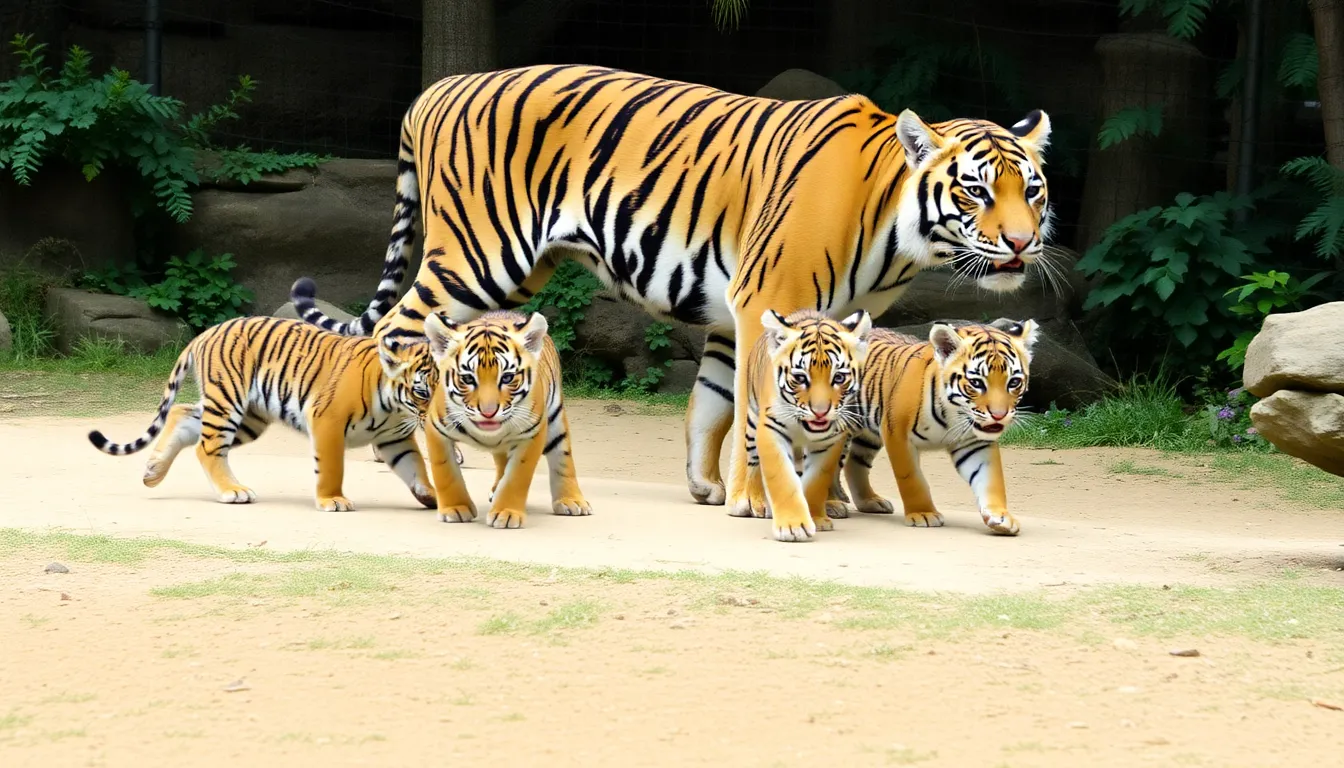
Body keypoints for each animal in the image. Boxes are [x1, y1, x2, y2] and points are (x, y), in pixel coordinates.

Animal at [87, 316, 443, 512]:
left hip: (249, 416)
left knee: (182, 413)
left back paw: (153, 472)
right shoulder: (327, 422)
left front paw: (433, 495)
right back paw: (232, 491)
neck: (395, 408)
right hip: (228, 400)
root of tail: (205, 333)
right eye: (422, 392)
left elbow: (415, 466)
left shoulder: (395, 438)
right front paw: (333, 500)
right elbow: (331, 467)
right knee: (207, 447)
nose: (435, 420)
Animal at [419, 309, 592, 529]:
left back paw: (571, 501)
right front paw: (455, 509)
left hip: (555, 420)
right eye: (467, 378)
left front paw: (506, 513)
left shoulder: (532, 433)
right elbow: (445, 471)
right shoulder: (436, 429)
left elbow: (516, 477)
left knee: (562, 457)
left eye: (507, 377)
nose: (488, 412)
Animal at [738, 308, 871, 542]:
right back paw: (757, 502)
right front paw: (792, 526)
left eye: (839, 377)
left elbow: (817, 481)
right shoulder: (772, 430)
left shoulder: (831, 441)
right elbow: (782, 479)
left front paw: (816, 518)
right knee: (753, 464)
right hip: (752, 422)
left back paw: (832, 504)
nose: (820, 412)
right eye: (800, 378)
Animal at [828, 318, 1039, 535]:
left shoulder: (976, 443)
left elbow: (990, 479)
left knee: (854, 464)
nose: (999, 415)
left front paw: (1000, 516)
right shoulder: (898, 435)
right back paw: (832, 505)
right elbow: (912, 479)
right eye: (976, 382)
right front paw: (923, 514)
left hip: (867, 435)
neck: (954, 413)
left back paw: (870, 501)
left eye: (1014, 382)